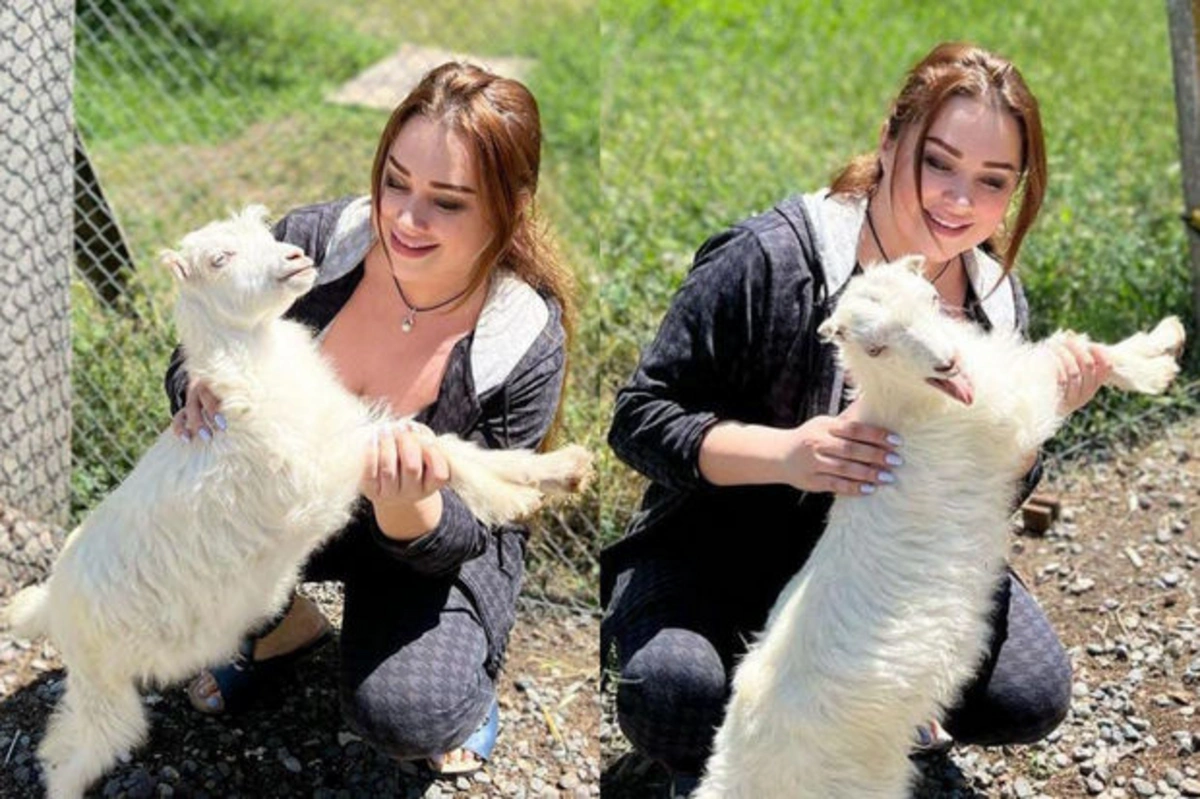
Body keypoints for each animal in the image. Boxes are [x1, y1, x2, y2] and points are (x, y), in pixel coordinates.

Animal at [3, 206, 595, 796]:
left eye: (267, 233)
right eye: (219, 258)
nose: (295, 257)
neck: (255, 379)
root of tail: (53, 599)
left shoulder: (348, 436)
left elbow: (441, 442)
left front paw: (557, 473)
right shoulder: (327, 466)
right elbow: (437, 451)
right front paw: (515, 497)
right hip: (103, 688)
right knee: (66, 754)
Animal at [696, 256, 1180, 796]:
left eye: (930, 299)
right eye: (876, 347)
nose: (947, 363)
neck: (908, 405)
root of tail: (735, 769)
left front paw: (1163, 342)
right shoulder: (1013, 408)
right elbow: (1073, 355)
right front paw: (1160, 354)